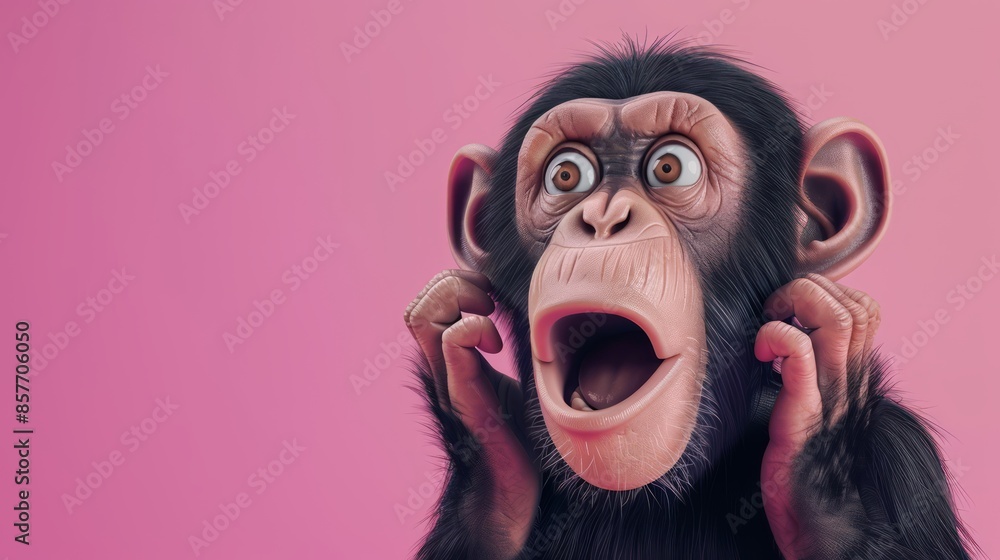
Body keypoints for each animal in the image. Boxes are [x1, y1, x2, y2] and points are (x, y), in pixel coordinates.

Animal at [403, 38, 975, 559]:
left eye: (670, 167)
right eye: (566, 175)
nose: (603, 219)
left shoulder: (900, 450)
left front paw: (822, 458)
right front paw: (490, 450)